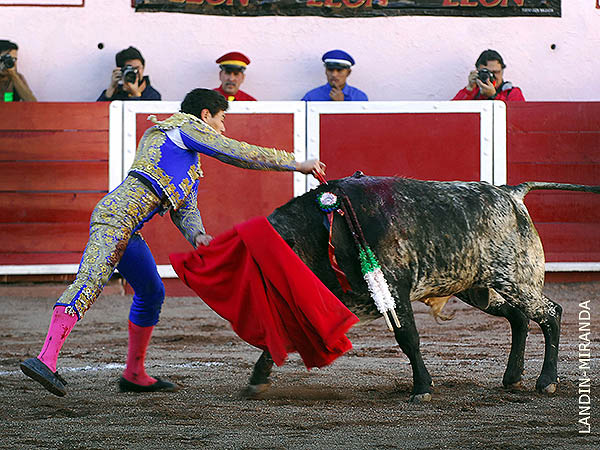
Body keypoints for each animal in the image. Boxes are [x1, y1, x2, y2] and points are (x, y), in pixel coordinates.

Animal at [244, 173, 599, 402]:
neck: (327, 229)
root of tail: (510, 193)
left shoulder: (393, 288)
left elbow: (408, 338)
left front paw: (422, 389)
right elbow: (282, 338)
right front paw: (256, 382)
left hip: (514, 277)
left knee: (550, 313)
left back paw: (546, 382)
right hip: (479, 287)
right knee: (520, 317)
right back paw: (512, 378)